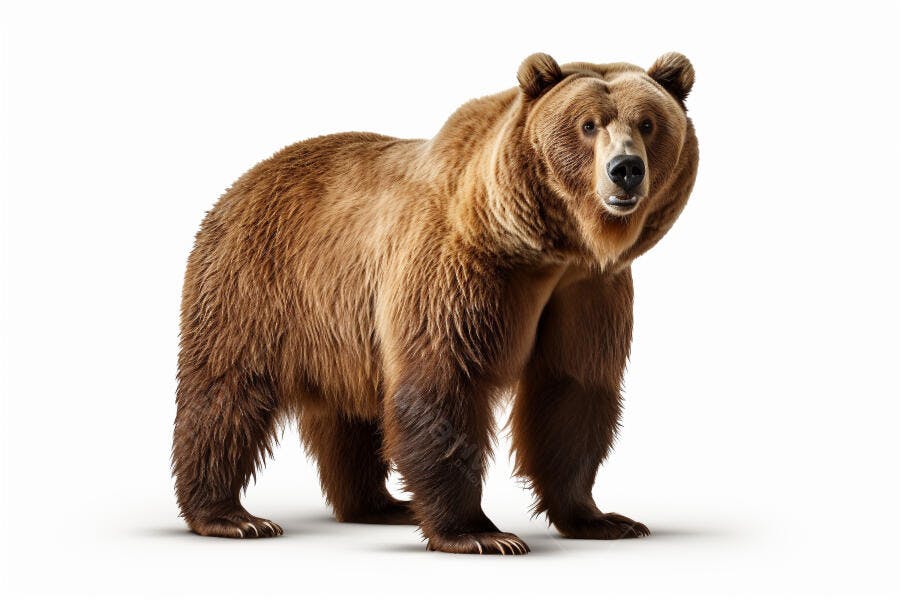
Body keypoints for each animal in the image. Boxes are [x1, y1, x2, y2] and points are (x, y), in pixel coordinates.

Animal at [172, 52, 698, 554]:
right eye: (587, 124)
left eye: (647, 123)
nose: (625, 170)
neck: (545, 249)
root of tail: (243, 182)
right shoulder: (458, 269)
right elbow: (444, 381)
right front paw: (481, 533)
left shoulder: (588, 290)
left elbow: (572, 388)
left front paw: (603, 519)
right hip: (257, 283)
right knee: (227, 390)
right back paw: (231, 516)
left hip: (343, 331)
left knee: (353, 417)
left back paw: (381, 504)